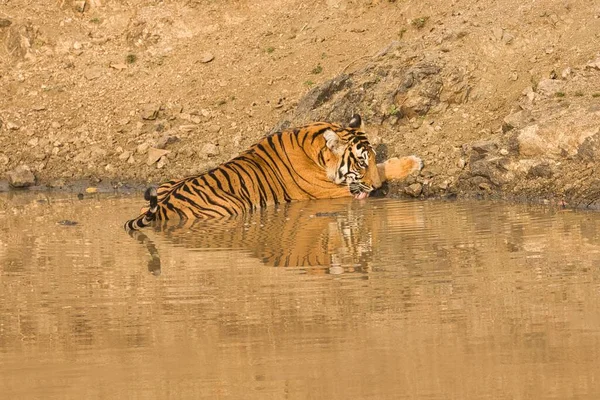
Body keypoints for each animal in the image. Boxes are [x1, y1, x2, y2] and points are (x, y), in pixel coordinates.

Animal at [123, 113, 422, 231]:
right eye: (360, 163)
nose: (373, 187)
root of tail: (163, 204)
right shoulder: (331, 192)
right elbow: (382, 173)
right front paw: (413, 163)